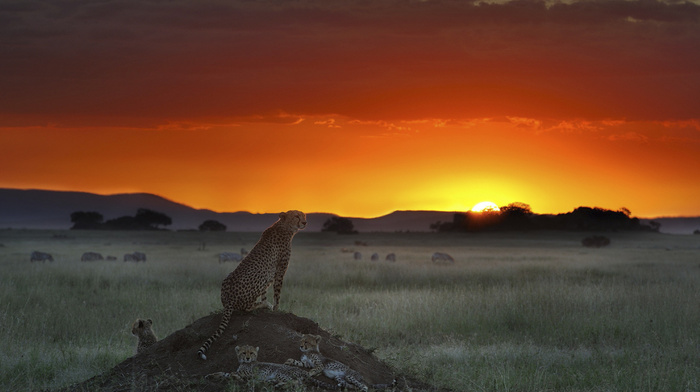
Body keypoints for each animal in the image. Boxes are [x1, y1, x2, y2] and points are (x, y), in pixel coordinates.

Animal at [197, 210, 306, 360]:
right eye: (296, 216)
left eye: (304, 215)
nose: (305, 222)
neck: (284, 227)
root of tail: (228, 300)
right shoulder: (279, 271)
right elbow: (277, 293)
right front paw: (276, 309)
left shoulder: (271, 274)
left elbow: (265, 293)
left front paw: (268, 305)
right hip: (260, 274)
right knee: (246, 308)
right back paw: (262, 305)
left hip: (233, 277)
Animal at [208, 346, 336, 388]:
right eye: (244, 353)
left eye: (251, 353)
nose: (248, 358)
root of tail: (303, 371)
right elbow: (224, 373)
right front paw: (210, 376)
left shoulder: (249, 373)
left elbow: (232, 374)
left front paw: (237, 378)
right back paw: (273, 383)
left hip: (280, 373)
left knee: (297, 383)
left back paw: (279, 385)